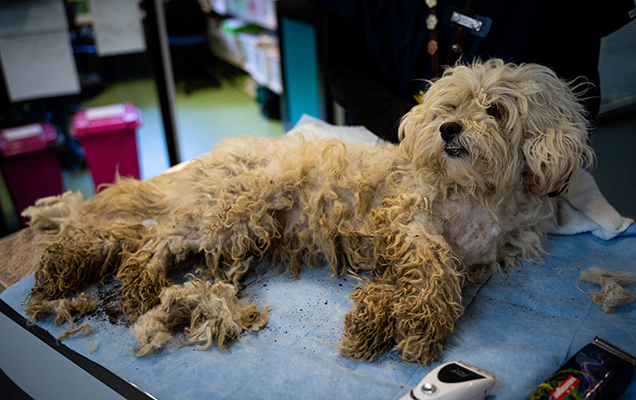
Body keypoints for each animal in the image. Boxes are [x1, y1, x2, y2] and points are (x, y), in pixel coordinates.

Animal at [23, 60, 592, 366]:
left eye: (494, 109)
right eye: (448, 107)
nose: (449, 129)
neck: (478, 192)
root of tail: (203, 166)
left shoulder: (465, 261)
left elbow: (412, 285)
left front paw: (373, 323)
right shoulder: (409, 221)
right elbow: (431, 276)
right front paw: (418, 326)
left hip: (227, 228)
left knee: (128, 235)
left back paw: (69, 269)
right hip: (230, 215)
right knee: (147, 241)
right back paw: (130, 283)